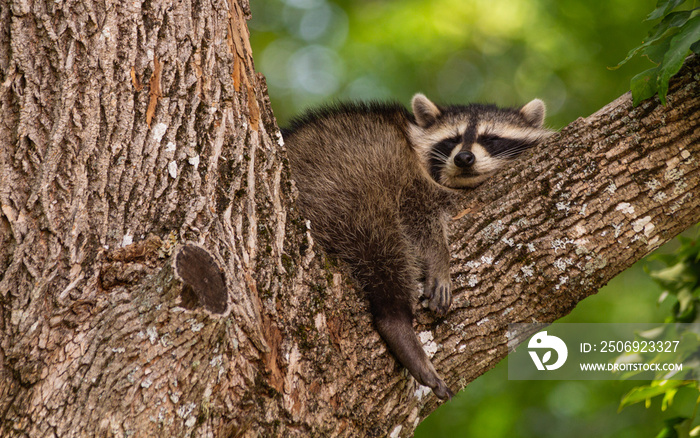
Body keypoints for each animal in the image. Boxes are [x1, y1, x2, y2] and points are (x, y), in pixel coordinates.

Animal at [282, 94, 548, 398]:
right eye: (452, 140)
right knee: (381, 242)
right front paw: (439, 256)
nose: (463, 158)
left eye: (490, 138)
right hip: (339, 181)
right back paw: (394, 318)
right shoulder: (408, 175)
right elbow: (417, 216)